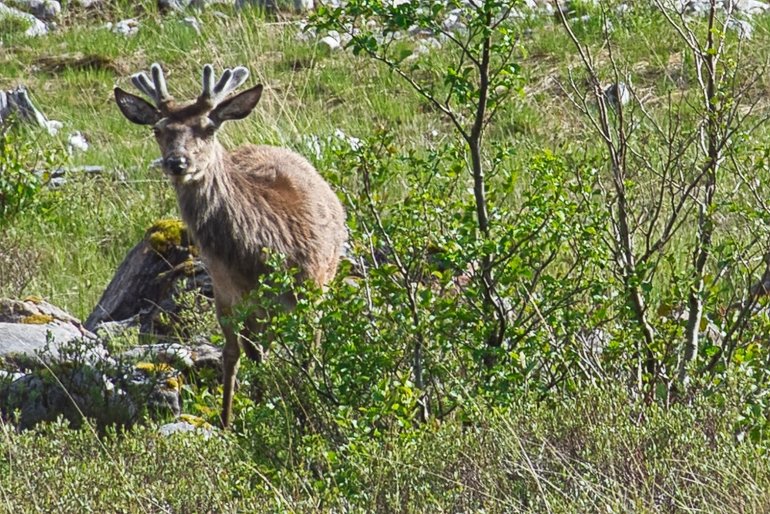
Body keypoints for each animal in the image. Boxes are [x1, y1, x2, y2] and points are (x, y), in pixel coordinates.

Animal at [112, 63, 346, 424]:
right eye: (158, 130)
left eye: (208, 128)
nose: (177, 162)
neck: (259, 257)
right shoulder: (226, 294)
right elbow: (233, 353)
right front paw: (227, 421)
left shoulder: (312, 289)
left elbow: (311, 349)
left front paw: (309, 411)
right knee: (252, 349)